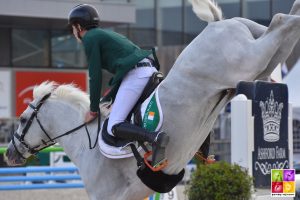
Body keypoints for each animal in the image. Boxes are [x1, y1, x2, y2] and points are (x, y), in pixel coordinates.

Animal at [4, 0, 300, 199]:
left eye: (23, 119)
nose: (8, 154)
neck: (84, 142)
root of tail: (216, 23)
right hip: (259, 61)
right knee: (277, 32)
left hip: (249, 60)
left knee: (280, 19)